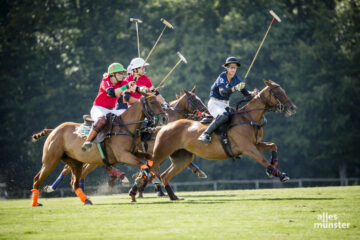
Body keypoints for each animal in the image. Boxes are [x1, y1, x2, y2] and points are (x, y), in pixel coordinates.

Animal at [30, 92, 166, 206]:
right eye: (152, 102)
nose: (164, 118)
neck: (127, 128)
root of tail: (55, 130)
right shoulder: (123, 155)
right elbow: (142, 164)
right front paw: (148, 178)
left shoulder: (135, 152)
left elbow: (150, 159)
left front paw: (153, 177)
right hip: (51, 160)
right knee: (37, 179)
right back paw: (36, 202)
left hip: (76, 162)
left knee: (74, 182)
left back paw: (86, 200)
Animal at [150, 79, 296, 200]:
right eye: (277, 93)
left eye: (284, 91)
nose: (293, 108)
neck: (248, 118)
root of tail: (164, 126)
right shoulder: (248, 147)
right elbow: (263, 160)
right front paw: (281, 175)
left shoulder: (255, 144)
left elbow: (273, 145)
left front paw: (272, 169)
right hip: (161, 153)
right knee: (151, 168)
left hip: (183, 158)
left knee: (164, 175)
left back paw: (174, 197)